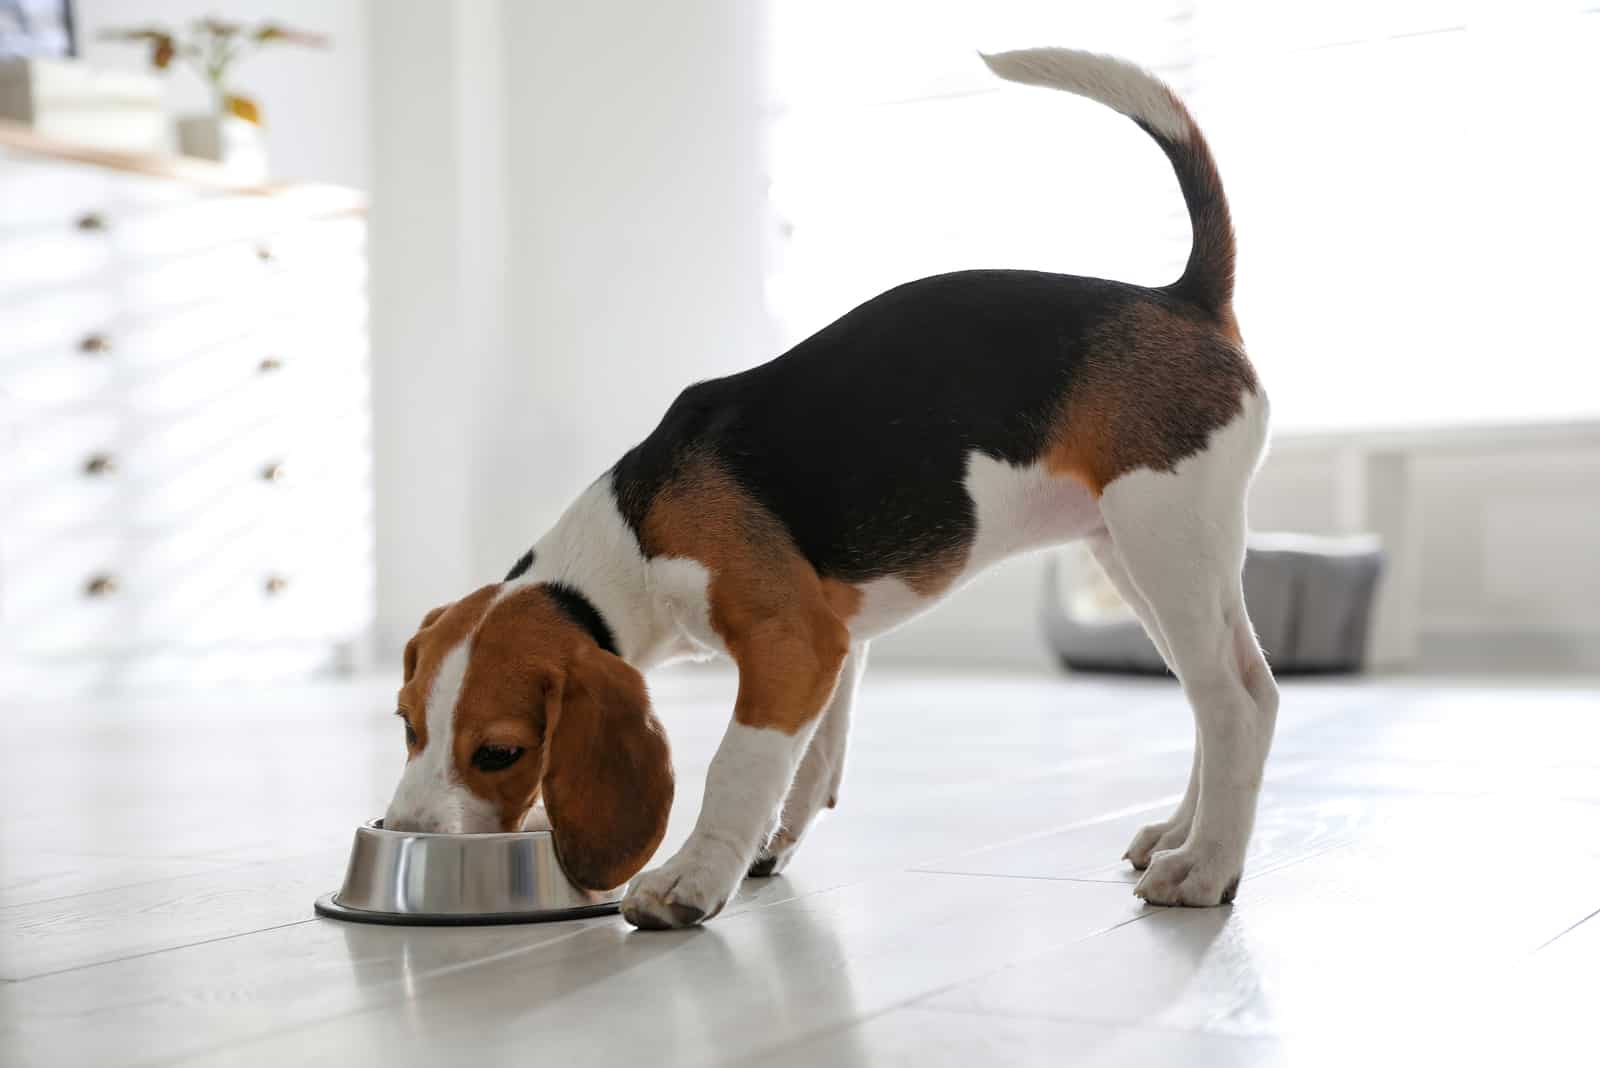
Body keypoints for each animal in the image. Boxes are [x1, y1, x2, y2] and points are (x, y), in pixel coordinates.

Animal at [384, 47, 1273, 927]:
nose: (402, 829)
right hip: (1135, 555)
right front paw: (766, 845)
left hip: (1165, 537)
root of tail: (1183, 298)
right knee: (1222, 696)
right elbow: (812, 759)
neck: (630, 537)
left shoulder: (791, 641)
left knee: (1236, 702)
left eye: (500, 752)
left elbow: (738, 764)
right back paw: (1178, 835)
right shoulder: (834, 640)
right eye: (406, 725)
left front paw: (689, 879)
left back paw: (1203, 867)